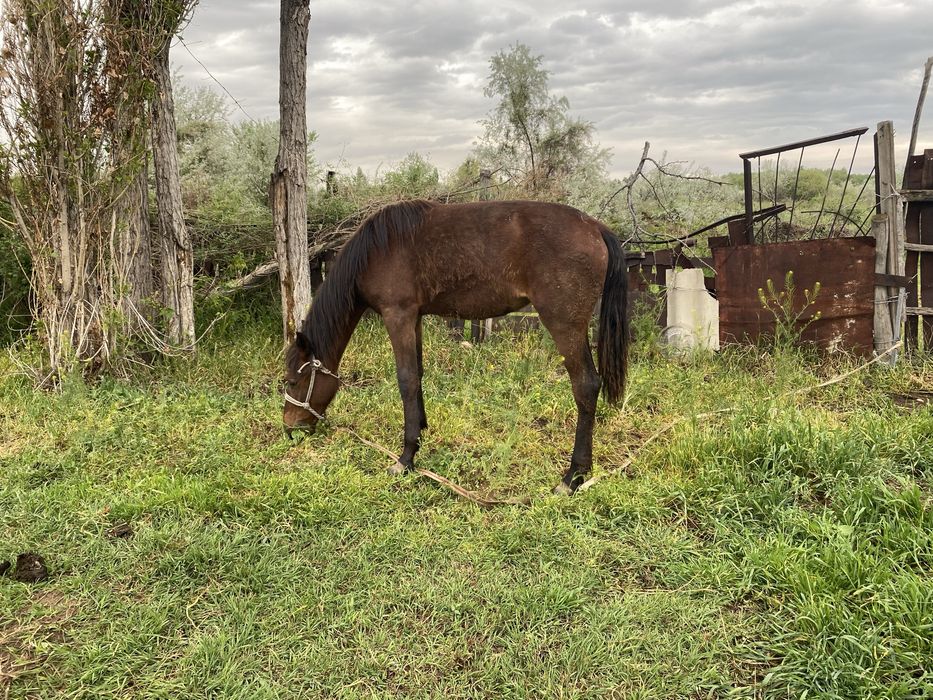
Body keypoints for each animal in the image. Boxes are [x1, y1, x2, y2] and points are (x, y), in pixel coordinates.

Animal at [282, 199, 628, 494]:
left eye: (293, 381)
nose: (289, 428)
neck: (375, 251)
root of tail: (595, 227)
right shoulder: (414, 317)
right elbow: (418, 374)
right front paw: (420, 432)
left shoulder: (398, 315)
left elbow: (406, 380)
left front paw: (405, 459)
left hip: (564, 326)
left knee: (585, 386)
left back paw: (573, 477)